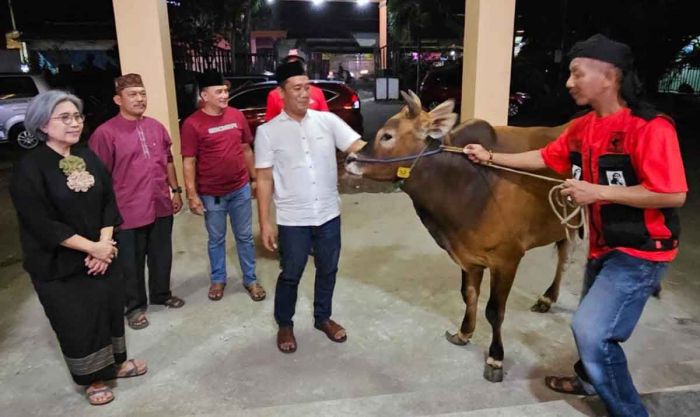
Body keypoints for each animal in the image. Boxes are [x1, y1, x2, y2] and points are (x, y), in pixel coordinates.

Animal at [344, 91, 576, 380]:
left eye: (387, 136)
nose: (349, 160)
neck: (466, 182)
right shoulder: (469, 257)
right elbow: (469, 295)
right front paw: (464, 333)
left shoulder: (507, 259)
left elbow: (495, 311)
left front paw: (495, 359)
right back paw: (548, 298)